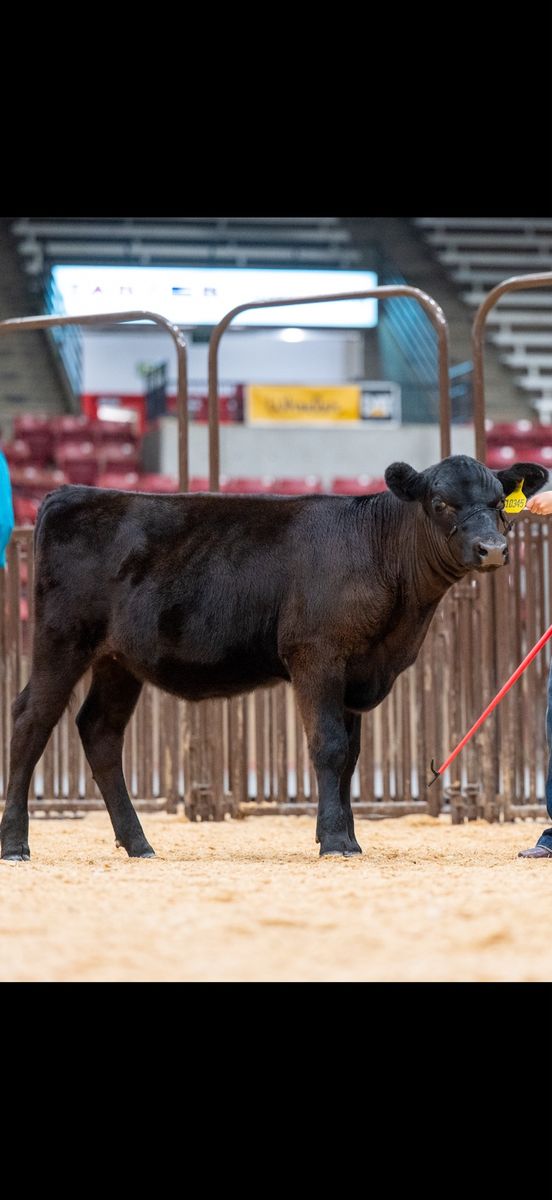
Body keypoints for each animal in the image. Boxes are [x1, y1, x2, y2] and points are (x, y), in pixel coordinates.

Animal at [0, 455, 547, 863]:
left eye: (498, 502)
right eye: (440, 502)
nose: (493, 549)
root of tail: (72, 493)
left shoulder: (357, 670)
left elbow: (350, 757)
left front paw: (348, 837)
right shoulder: (317, 656)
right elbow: (328, 746)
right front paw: (334, 842)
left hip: (118, 660)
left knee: (100, 730)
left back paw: (139, 844)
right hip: (61, 640)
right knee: (30, 721)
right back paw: (16, 844)